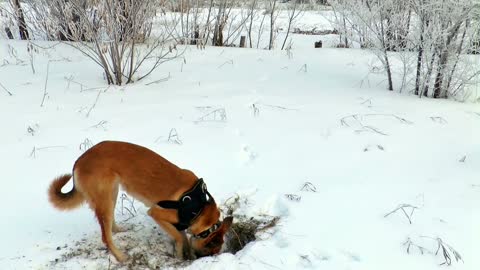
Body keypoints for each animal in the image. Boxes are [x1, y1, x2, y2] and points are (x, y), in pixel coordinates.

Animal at [48, 140, 232, 262]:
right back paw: (121, 257)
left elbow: (181, 235)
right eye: (211, 251)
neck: (199, 207)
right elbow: (179, 237)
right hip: (105, 199)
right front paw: (181, 255)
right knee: (106, 237)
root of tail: (79, 161)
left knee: (110, 226)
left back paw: (119, 230)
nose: (199, 259)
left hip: (112, 193)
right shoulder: (156, 213)